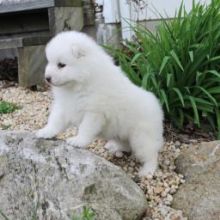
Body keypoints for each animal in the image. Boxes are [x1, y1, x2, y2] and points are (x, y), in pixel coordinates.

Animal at [36, 31, 163, 176]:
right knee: (127, 144)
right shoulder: (64, 106)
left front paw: (78, 141)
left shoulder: (94, 113)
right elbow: (55, 121)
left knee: (150, 154)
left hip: (141, 138)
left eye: (61, 65)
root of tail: (157, 107)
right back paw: (114, 147)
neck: (79, 83)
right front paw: (46, 132)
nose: (47, 78)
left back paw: (147, 171)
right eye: (50, 62)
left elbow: (85, 128)